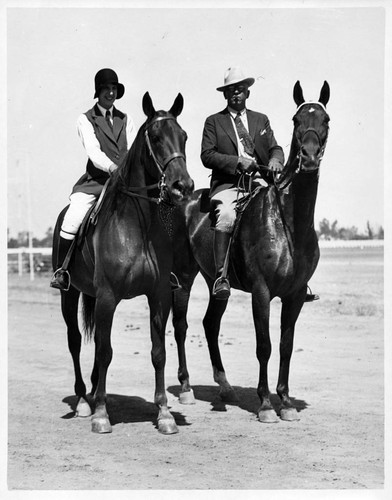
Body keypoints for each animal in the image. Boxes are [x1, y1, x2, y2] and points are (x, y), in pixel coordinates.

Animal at [52, 93, 194, 434]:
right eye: (156, 137)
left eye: (183, 136)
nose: (182, 186)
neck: (137, 226)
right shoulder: (107, 297)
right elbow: (105, 352)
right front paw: (102, 414)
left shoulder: (158, 295)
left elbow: (159, 352)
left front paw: (164, 413)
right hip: (69, 294)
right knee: (76, 341)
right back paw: (83, 400)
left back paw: (92, 392)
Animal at [173, 81, 330, 422]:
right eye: (297, 120)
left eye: (325, 120)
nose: (310, 157)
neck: (288, 224)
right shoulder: (261, 291)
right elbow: (265, 346)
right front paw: (266, 404)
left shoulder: (294, 295)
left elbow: (286, 346)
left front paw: (285, 401)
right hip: (183, 277)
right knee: (180, 326)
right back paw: (187, 388)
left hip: (214, 282)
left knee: (210, 324)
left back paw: (225, 387)